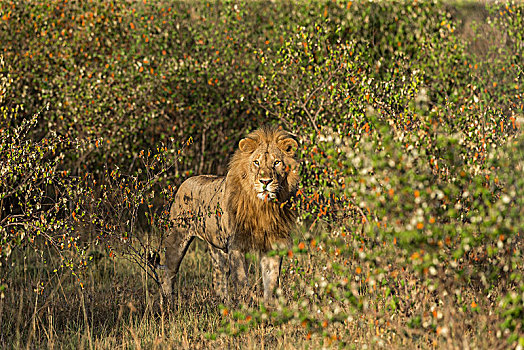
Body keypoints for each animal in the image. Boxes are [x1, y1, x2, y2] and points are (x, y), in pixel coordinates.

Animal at [162, 126, 296, 300]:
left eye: (277, 162)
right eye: (256, 162)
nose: (265, 181)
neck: (262, 207)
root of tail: (185, 181)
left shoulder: (272, 244)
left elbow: (271, 283)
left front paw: (268, 305)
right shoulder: (236, 245)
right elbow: (241, 283)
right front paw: (245, 304)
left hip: (217, 248)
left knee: (218, 278)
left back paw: (223, 302)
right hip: (176, 240)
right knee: (168, 273)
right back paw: (167, 301)